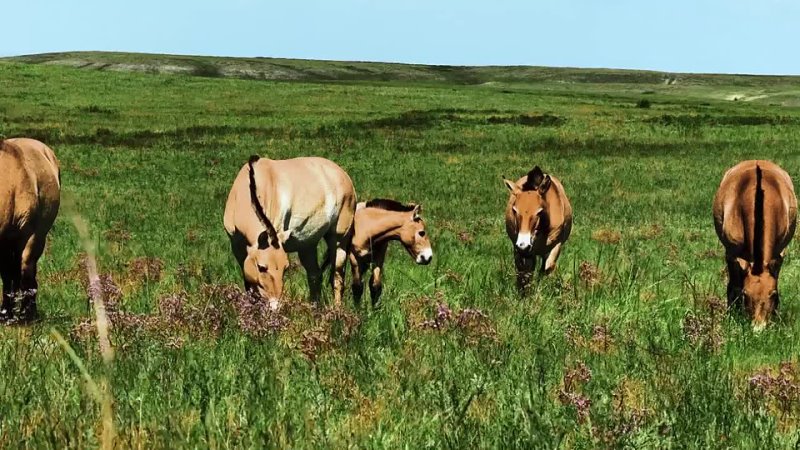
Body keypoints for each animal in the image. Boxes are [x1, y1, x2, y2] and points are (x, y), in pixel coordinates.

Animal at [222, 156, 354, 310]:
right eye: (261, 267)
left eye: (285, 268)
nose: (275, 306)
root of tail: (343, 174)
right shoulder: (237, 248)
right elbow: (249, 285)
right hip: (307, 246)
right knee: (315, 275)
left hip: (339, 241)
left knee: (337, 277)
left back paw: (337, 310)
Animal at [712, 160, 792, 328]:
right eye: (746, 294)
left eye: (773, 294)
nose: (758, 328)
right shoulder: (731, 253)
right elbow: (734, 284)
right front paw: (732, 314)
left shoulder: (779, 252)